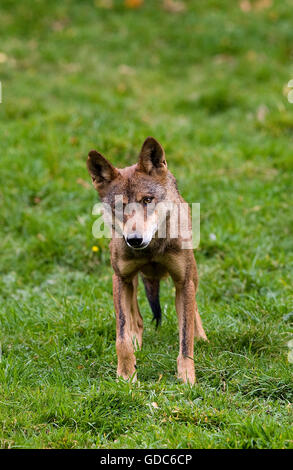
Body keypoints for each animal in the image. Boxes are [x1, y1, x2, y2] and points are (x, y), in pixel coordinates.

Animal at [85, 137, 206, 386]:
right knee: (137, 320)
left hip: (192, 277)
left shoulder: (183, 283)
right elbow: (122, 337)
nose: (134, 239)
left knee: (193, 312)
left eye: (147, 200)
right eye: (120, 206)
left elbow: (185, 339)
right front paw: (126, 376)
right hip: (129, 282)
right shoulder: (120, 278)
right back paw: (137, 344)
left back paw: (202, 337)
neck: (151, 251)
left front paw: (187, 381)